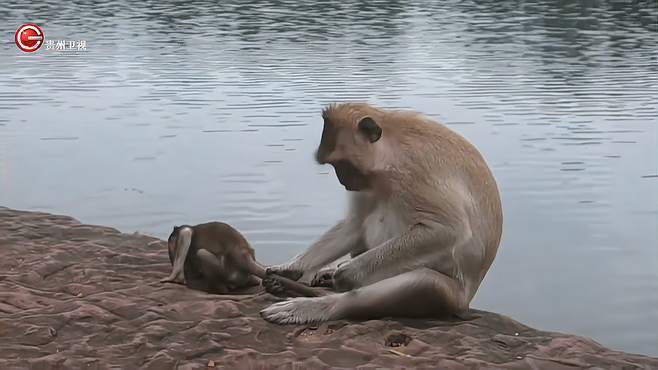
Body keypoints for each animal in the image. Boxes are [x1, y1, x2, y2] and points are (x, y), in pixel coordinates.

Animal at [161, 221, 320, 296]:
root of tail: (242, 255)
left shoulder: (181, 233)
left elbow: (186, 234)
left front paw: (175, 277)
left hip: (227, 272)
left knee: (202, 254)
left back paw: (220, 290)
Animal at [258, 102, 500, 324]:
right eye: (335, 166)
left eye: (342, 164)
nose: (342, 180)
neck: (392, 153)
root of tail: (466, 302)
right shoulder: (369, 182)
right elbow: (355, 223)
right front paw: (290, 269)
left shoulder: (415, 172)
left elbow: (448, 229)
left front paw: (349, 272)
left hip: (453, 297)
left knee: (426, 284)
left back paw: (320, 304)